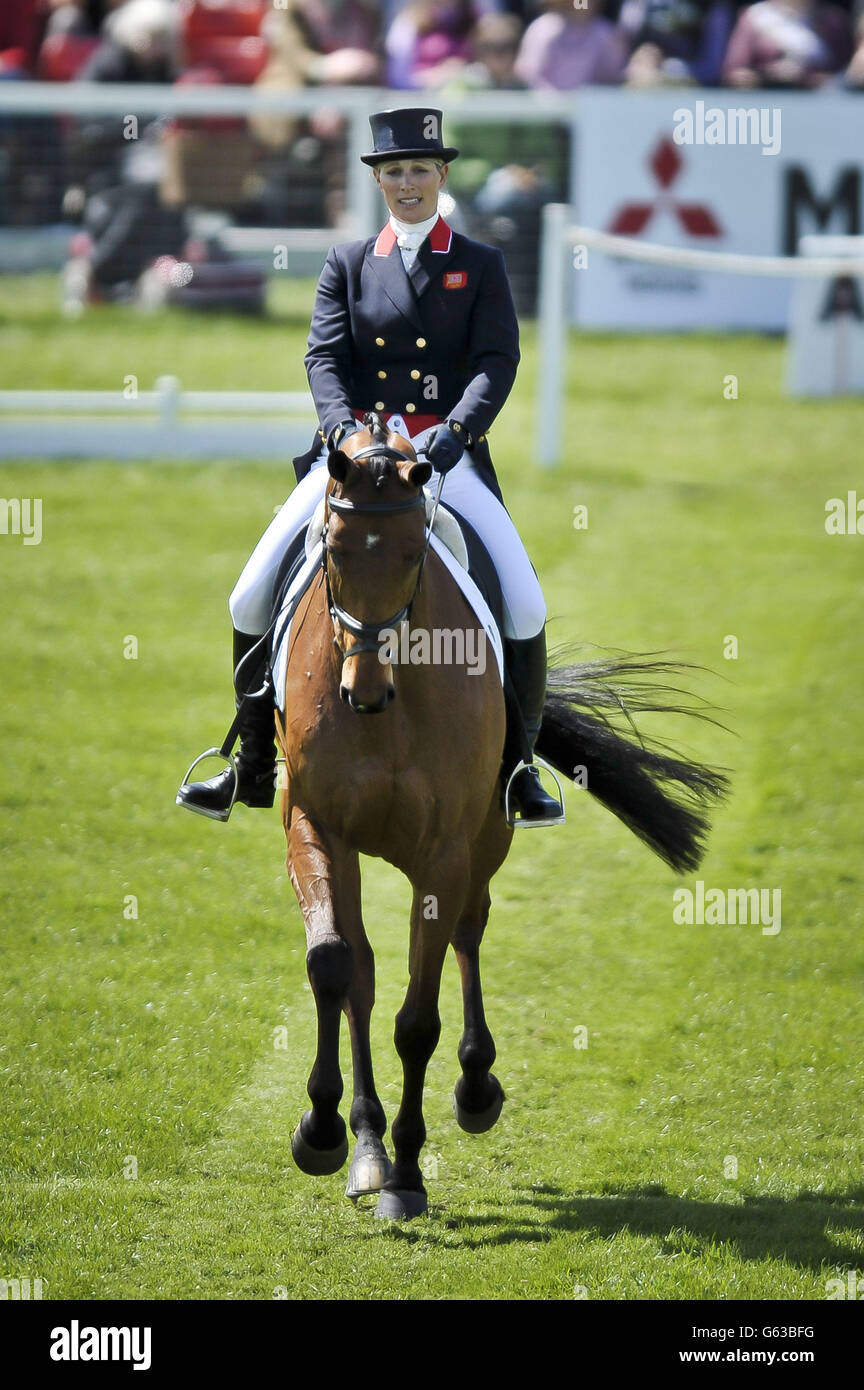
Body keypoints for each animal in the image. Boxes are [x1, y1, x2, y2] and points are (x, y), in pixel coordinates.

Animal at [273, 411, 727, 1217]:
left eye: (413, 552)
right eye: (331, 546)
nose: (363, 691)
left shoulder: (445, 850)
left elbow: (418, 1020)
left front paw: (409, 1176)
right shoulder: (314, 824)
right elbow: (332, 965)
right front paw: (323, 1133)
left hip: (486, 838)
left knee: (468, 930)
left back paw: (474, 1088)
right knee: (363, 970)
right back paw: (366, 1147)